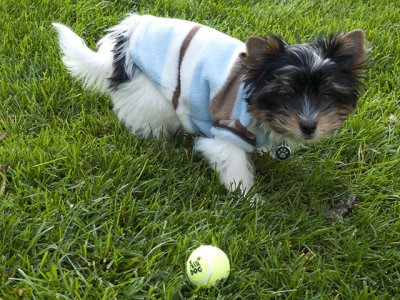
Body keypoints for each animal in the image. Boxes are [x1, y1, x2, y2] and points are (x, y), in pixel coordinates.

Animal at [53, 13, 368, 192]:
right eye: (286, 95)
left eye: (326, 95)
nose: (308, 126)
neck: (258, 108)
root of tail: (125, 35)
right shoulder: (227, 132)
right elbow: (233, 164)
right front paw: (249, 198)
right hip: (151, 89)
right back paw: (159, 142)